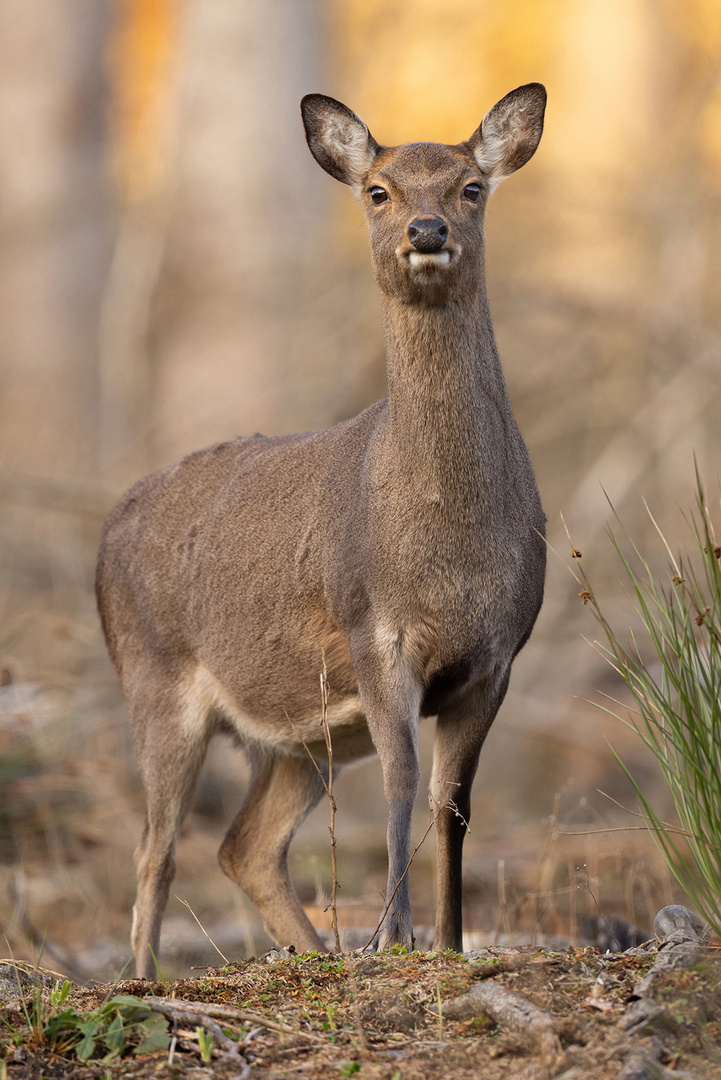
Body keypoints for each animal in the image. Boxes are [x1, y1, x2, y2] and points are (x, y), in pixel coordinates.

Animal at [95, 84, 546, 980]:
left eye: (470, 187)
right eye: (377, 190)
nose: (426, 231)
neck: (453, 546)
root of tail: (104, 536)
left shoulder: (496, 654)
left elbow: (453, 802)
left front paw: (448, 944)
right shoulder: (372, 627)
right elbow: (404, 779)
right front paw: (392, 935)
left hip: (303, 736)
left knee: (243, 844)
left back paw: (310, 955)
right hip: (153, 677)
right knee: (156, 848)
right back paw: (143, 980)